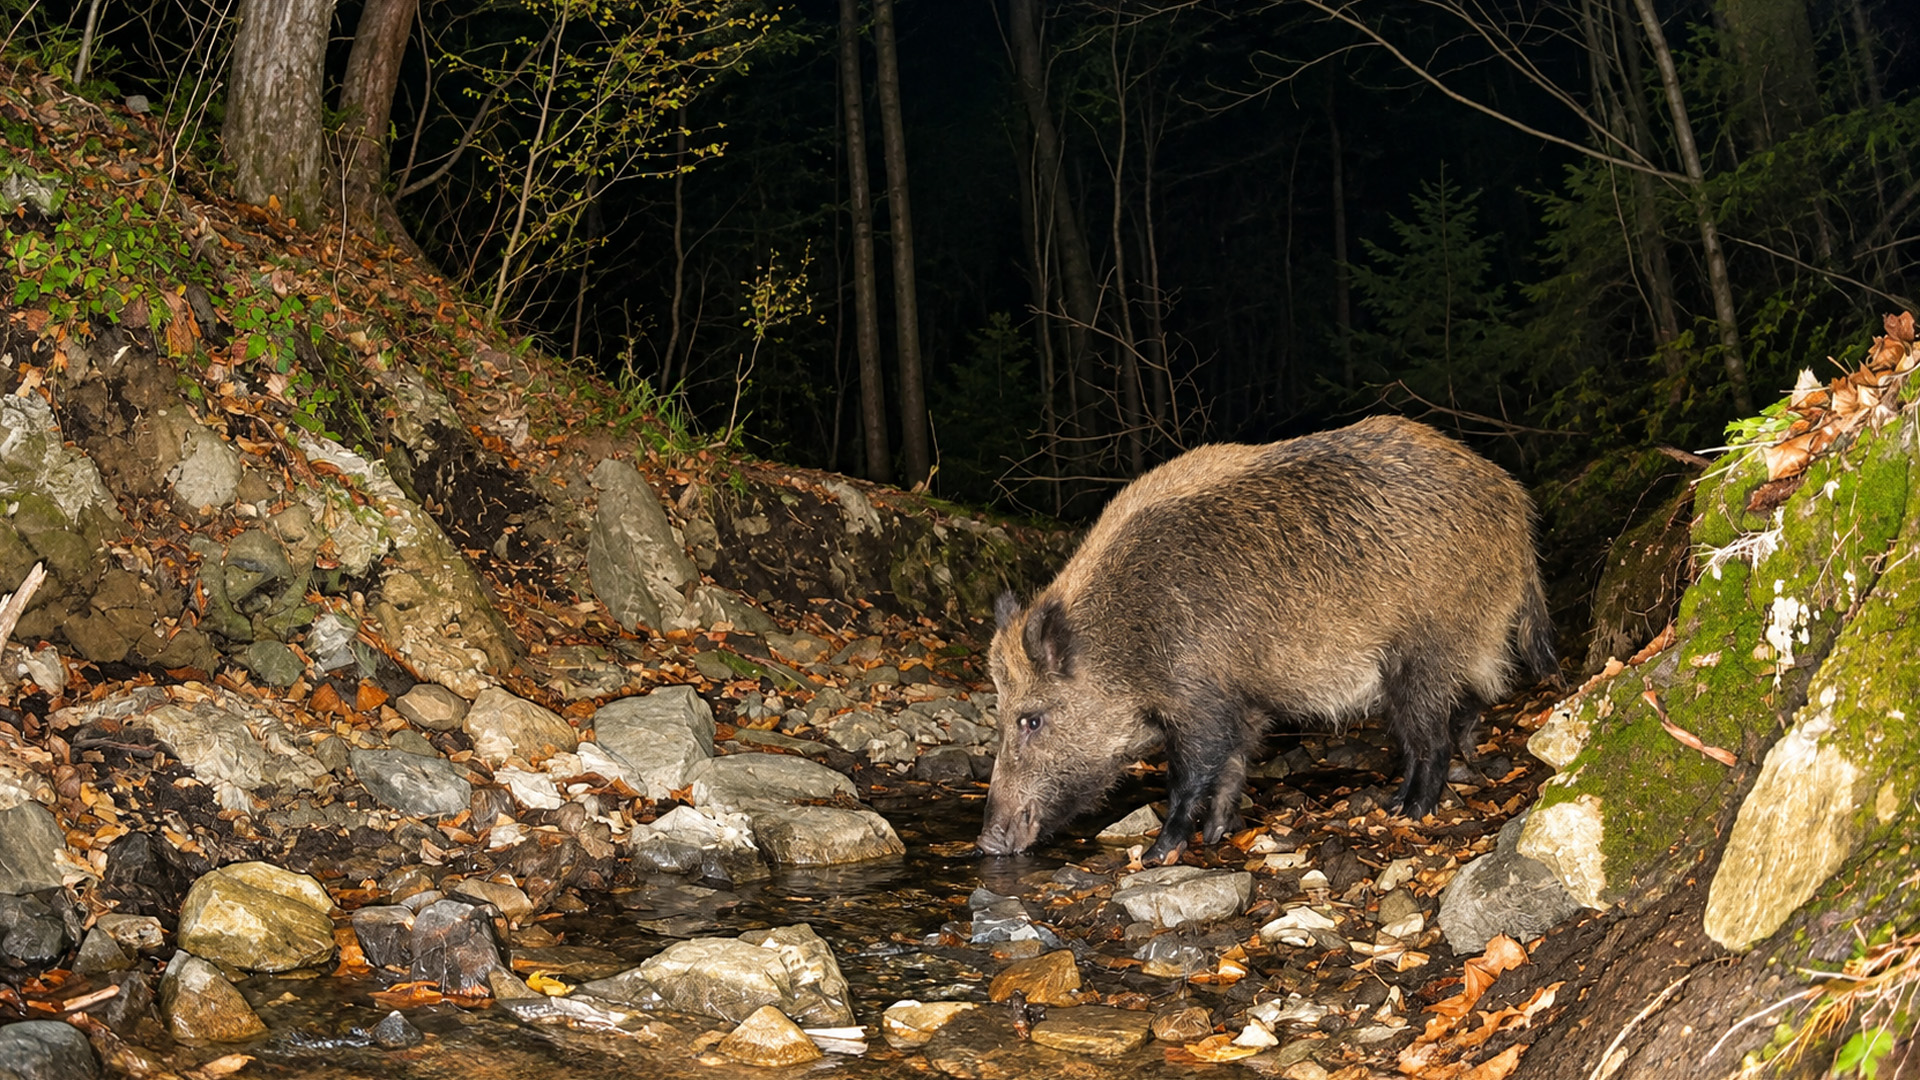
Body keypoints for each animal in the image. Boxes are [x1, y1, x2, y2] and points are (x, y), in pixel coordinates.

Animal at [978, 415, 1557, 863]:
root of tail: (1516, 505)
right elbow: (1235, 766)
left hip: (1426, 649)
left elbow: (1191, 773)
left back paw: (1406, 810)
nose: (986, 842)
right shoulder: (1244, 703)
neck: (1126, 638)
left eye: (1031, 719)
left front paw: (1159, 853)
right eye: (999, 715)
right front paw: (1216, 836)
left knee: (1430, 738)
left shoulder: (1201, 700)